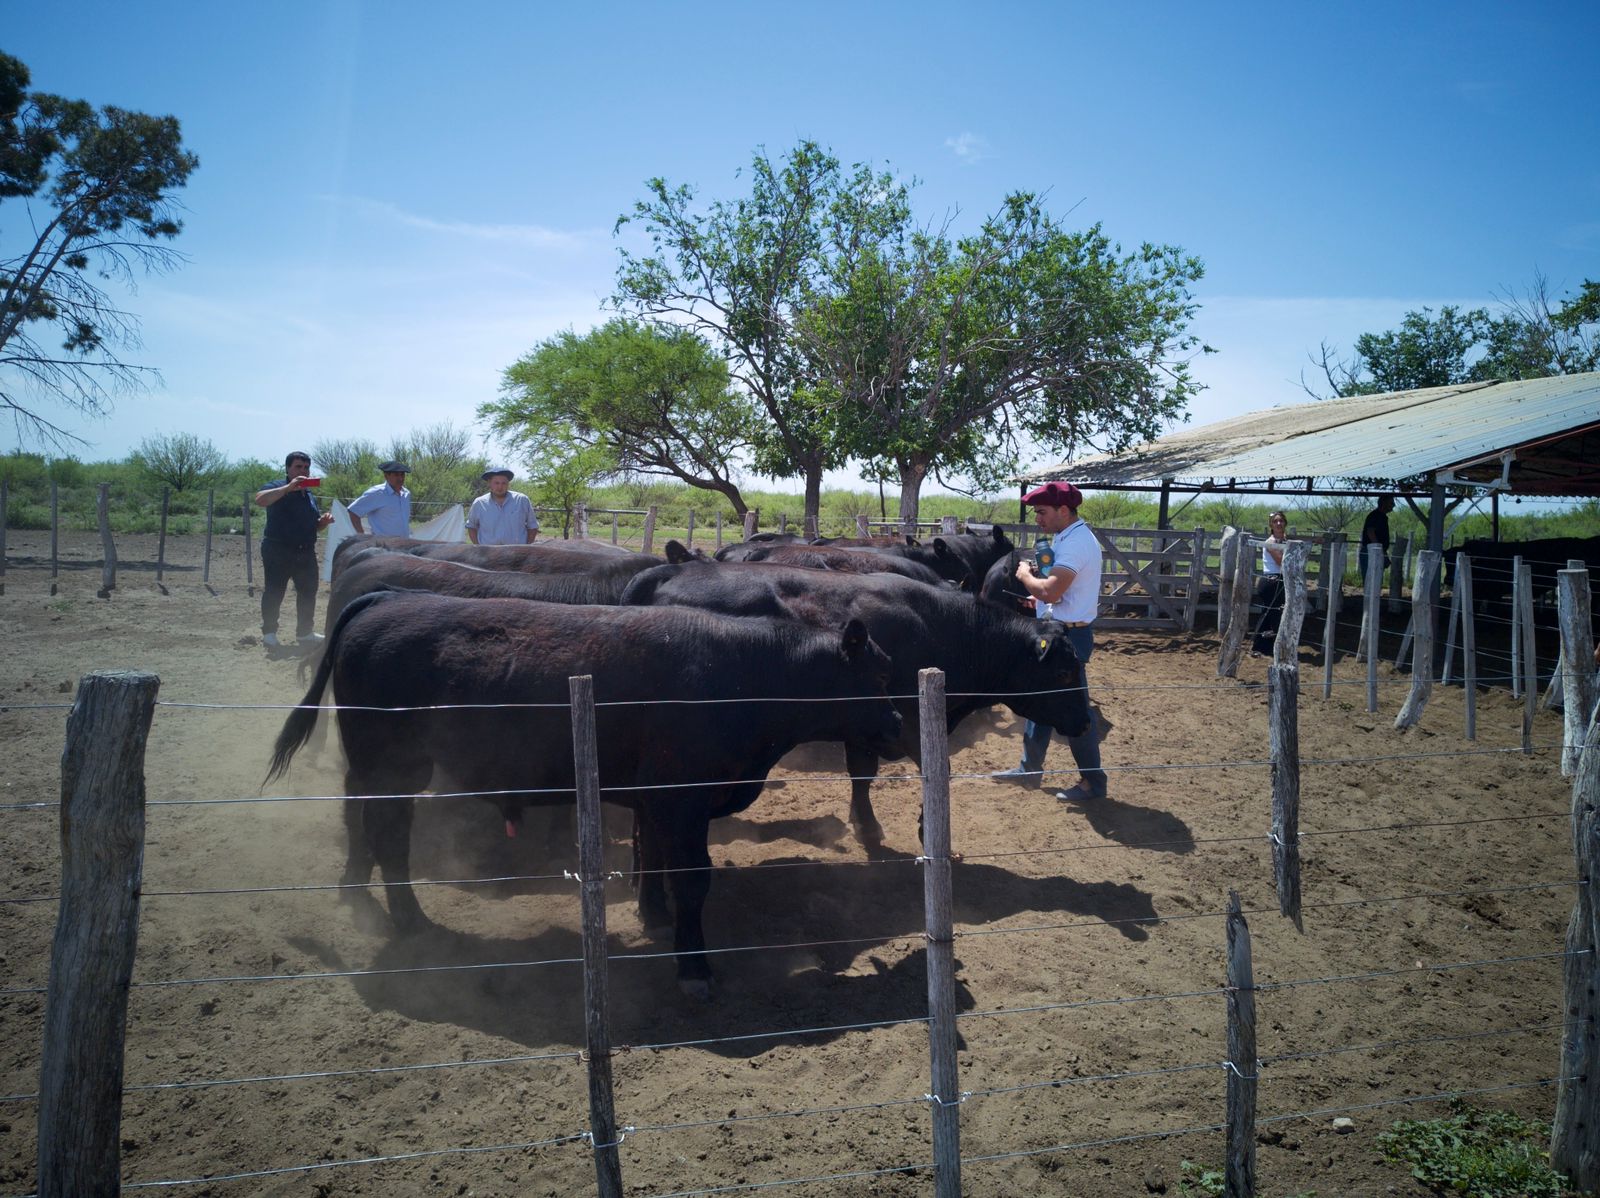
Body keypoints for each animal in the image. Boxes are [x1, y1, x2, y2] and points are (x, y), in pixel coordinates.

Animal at [268, 588, 908, 991]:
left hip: (388, 770)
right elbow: (692, 878)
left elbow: (654, 860)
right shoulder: (683, 799)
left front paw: (655, 918)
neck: (746, 675)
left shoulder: (657, 801)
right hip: (391, 768)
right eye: (878, 675)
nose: (901, 727)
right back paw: (408, 921)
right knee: (386, 835)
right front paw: (694, 968)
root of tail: (385, 599)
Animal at [617, 559, 1094, 838]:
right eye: (1065, 671)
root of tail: (668, 571)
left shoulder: (868, 724)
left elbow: (862, 775)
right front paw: (925, 829)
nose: (1087, 722)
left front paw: (865, 824)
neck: (944, 627)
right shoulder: (909, 722)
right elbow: (931, 771)